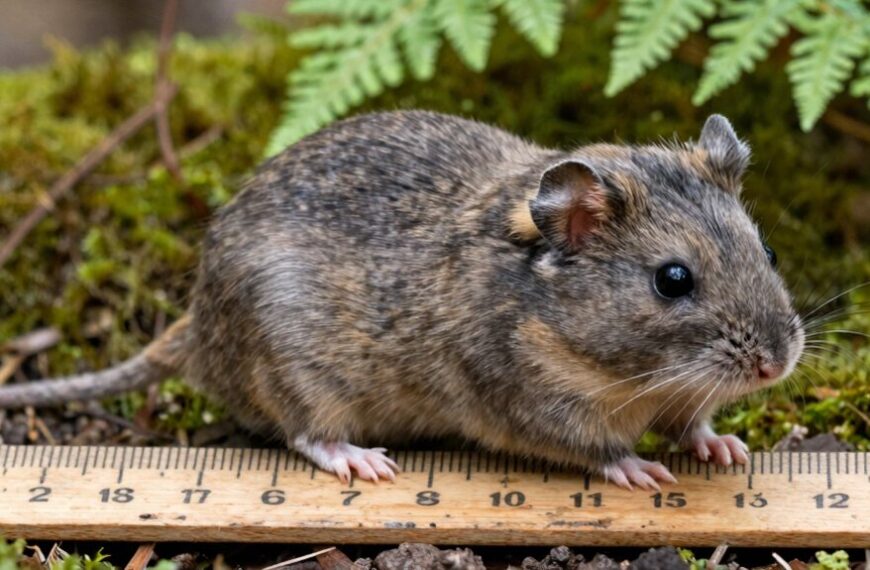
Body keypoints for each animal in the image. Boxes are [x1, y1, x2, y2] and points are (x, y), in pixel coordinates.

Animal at [0, 111, 805, 489]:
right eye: (673, 280)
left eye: (767, 251)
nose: (778, 363)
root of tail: (193, 328)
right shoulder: (532, 405)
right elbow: (597, 449)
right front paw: (637, 469)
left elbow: (694, 422)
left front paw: (722, 446)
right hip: (297, 373)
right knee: (303, 435)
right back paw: (359, 459)